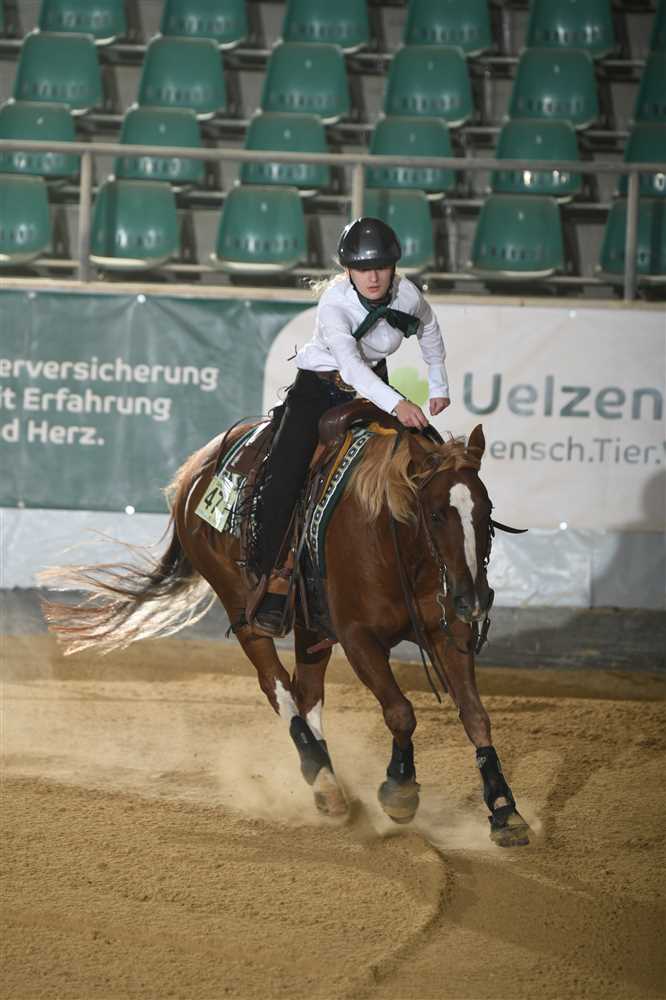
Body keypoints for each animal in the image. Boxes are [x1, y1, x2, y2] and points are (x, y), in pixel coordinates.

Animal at [41, 418, 530, 848]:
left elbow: (474, 714)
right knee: (277, 685)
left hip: (310, 626)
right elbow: (400, 712)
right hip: (243, 610)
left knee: (307, 691)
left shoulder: (448, 633)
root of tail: (195, 468)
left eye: (486, 511)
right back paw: (324, 781)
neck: (388, 534)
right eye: (435, 514)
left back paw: (328, 781)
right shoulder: (358, 638)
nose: (474, 599)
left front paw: (504, 809)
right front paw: (400, 790)